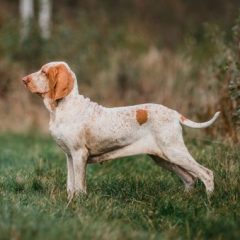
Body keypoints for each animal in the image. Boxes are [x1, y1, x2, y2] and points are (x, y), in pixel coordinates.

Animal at [22, 61, 219, 199]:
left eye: (44, 72)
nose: (24, 80)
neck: (62, 108)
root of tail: (175, 114)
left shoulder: (79, 154)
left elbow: (79, 186)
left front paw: (79, 203)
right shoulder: (69, 156)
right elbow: (70, 185)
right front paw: (70, 202)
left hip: (174, 152)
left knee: (206, 174)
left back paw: (208, 201)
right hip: (163, 158)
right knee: (190, 178)